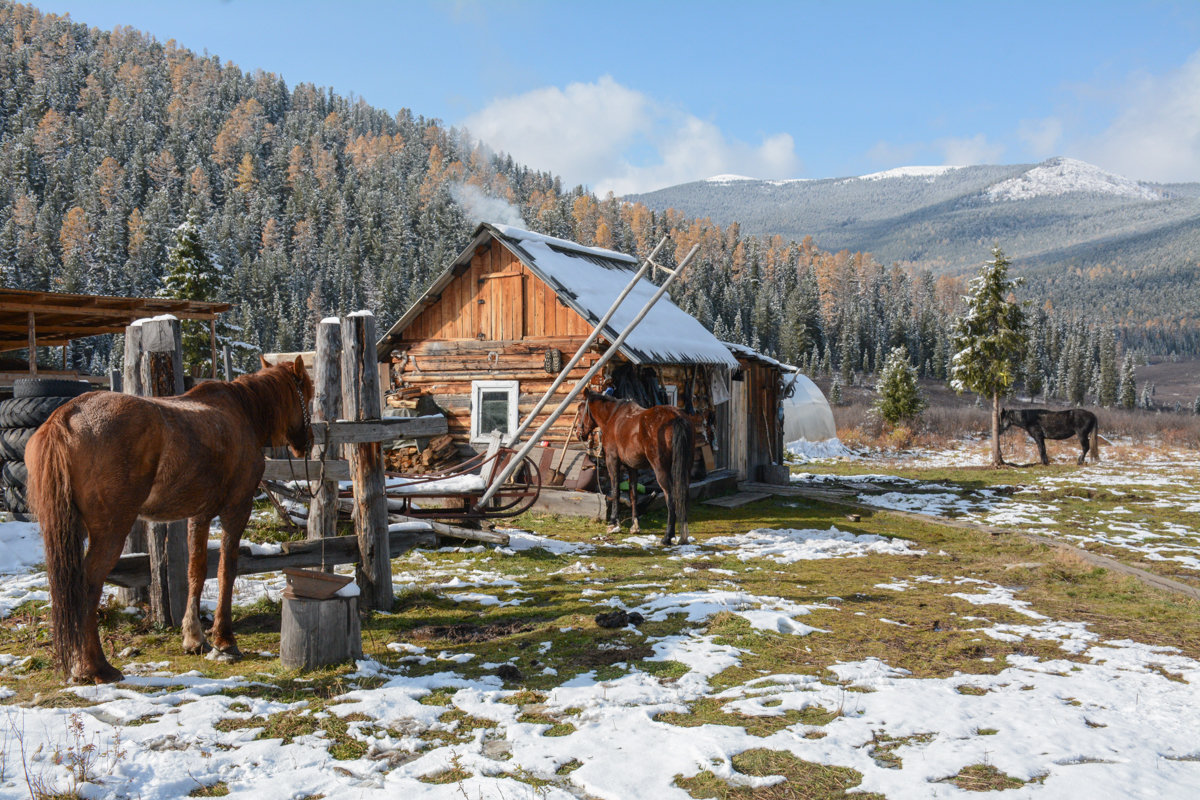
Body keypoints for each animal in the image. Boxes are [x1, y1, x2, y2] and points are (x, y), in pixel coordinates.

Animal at [27, 359, 314, 686]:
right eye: (307, 393)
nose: (307, 441)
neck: (244, 411)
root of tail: (66, 416)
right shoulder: (236, 510)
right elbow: (226, 570)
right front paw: (224, 641)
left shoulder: (199, 515)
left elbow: (196, 571)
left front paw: (194, 638)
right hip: (110, 532)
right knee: (88, 584)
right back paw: (96, 667)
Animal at [578, 391, 696, 546]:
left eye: (580, 410)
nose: (578, 434)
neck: (612, 417)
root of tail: (676, 417)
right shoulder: (632, 467)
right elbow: (633, 493)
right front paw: (635, 526)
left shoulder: (612, 461)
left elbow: (615, 491)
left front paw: (613, 523)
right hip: (685, 468)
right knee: (683, 495)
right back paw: (682, 536)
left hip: (661, 470)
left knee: (670, 497)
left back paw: (667, 537)